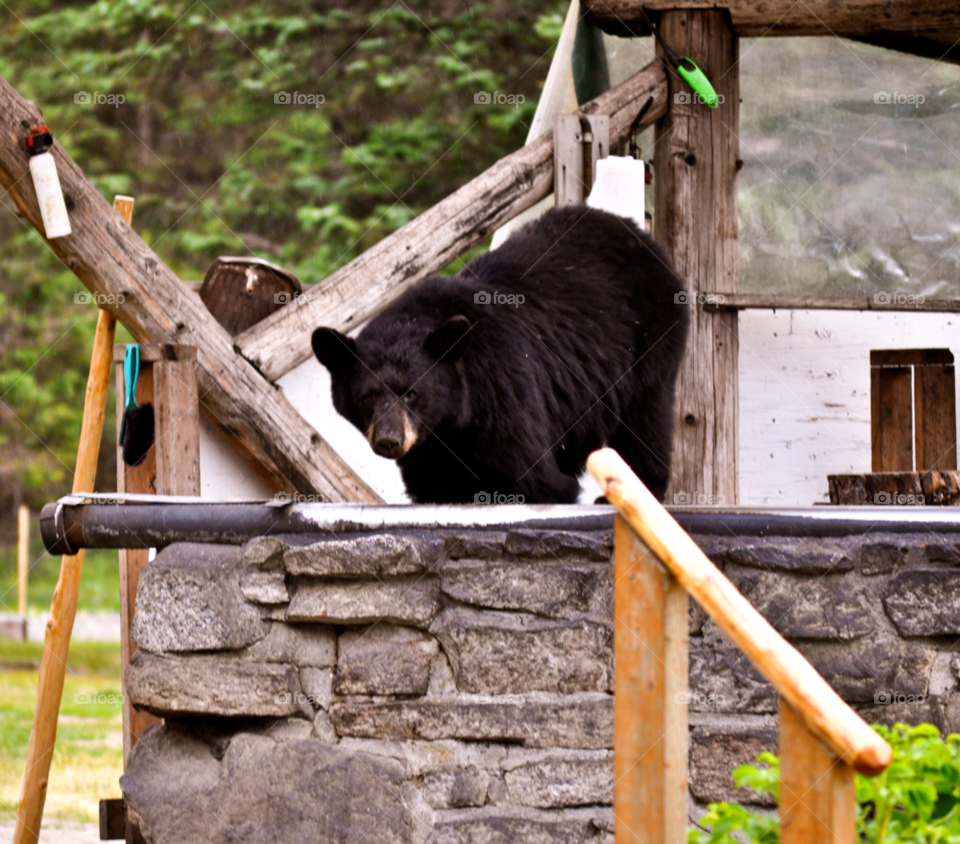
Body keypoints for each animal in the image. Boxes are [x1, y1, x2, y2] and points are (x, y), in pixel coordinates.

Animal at [316, 205, 688, 504]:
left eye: (412, 393)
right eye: (368, 395)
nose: (389, 440)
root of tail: (634, 230)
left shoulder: (504, 392)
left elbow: (536, 480)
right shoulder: (428, 450)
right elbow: (433, 486)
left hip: (650, 338)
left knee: (646, 417)